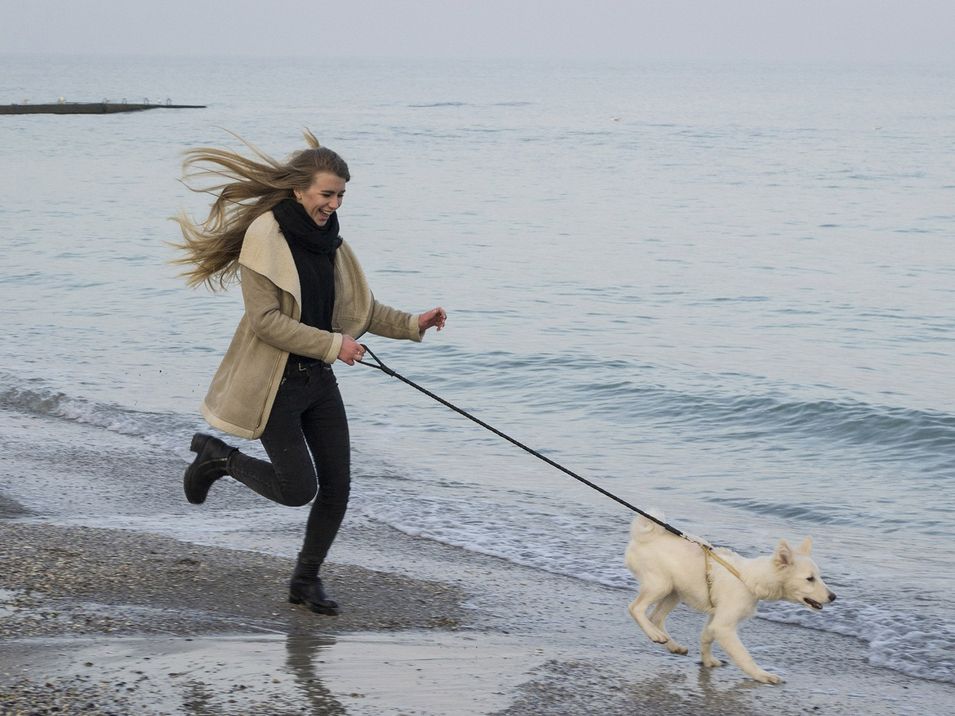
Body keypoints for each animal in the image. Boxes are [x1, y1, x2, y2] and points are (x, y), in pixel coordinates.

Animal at [624, 512, 832, 684]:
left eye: (819, 576)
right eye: (810, 579)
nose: (833, 596)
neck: (749, 579)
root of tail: (644, 536)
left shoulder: (716, 619)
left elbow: (706, 638)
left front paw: (708, 661)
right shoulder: (724, 626)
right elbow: (744, 655)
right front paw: (762, 675)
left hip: (675, 592)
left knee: (656, 618)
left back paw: (671, 644)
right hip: (660, 585)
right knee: (635, 608)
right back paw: (655, 635)